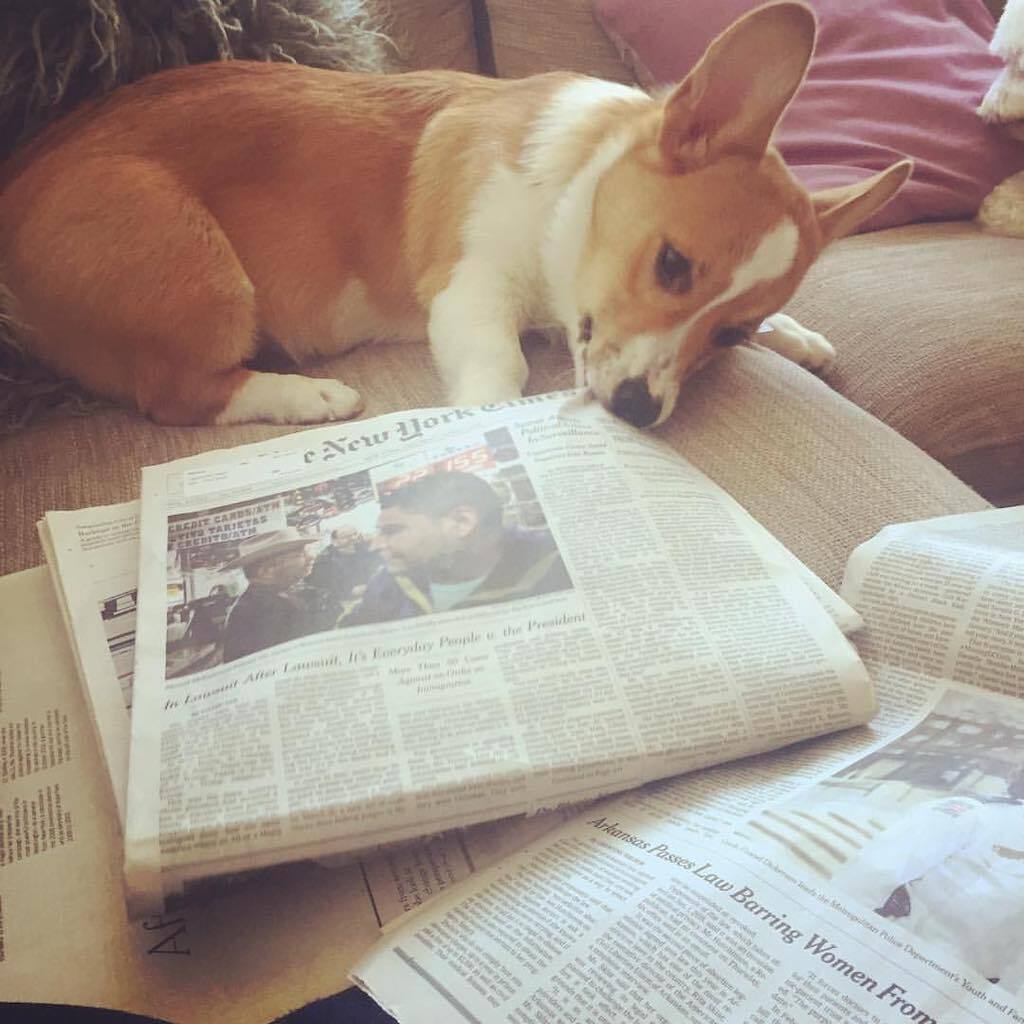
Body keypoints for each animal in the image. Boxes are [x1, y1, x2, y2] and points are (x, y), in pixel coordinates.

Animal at [0, 2, 913, 425]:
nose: (636, 412)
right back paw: (310, 397)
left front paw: (800, 337)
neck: (571, 184)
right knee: (178, 395)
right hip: (201, 270)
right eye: (672, 264)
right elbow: (500, 365)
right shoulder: (469, 284)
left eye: (731, 335)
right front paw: (484, 415)